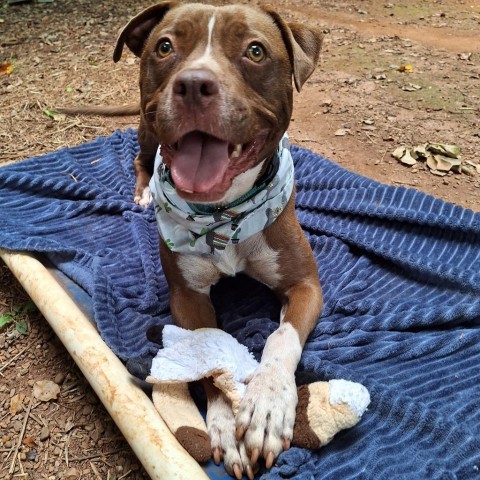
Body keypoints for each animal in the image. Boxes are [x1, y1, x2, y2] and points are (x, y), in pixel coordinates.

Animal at [112, 1, 322, 478]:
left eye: (255, 51)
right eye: (165, 46)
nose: (193, 84)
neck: (224, 215)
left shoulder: (306, 285)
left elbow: (282, 340)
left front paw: (267, 405)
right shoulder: (187, 298)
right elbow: (208, 351)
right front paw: (225, 425)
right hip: (147, 127)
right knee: (140, 158)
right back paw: (144, 191)